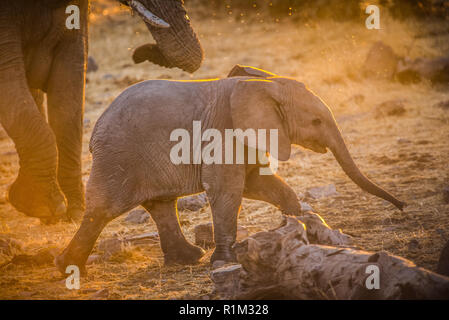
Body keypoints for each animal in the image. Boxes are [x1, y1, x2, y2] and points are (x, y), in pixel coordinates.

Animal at [55, 65, 402, 276]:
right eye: (316, 121)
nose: (401, 206)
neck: (263, 83)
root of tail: (95, 130)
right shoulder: (224, 133)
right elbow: (228, 190)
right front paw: (225, 262)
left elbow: (258, 183)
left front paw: (300, 229)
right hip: (120, 156)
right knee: (103, 210)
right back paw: (68, 269)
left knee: (161, 205)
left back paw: (189, 258)